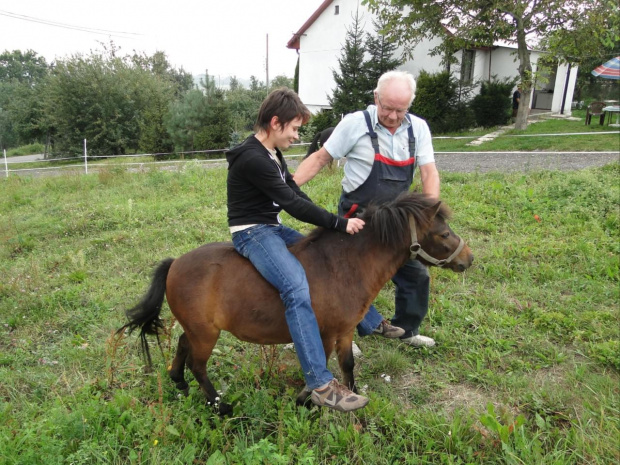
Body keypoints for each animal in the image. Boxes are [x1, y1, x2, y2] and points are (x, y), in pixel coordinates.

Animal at [118, 192, 472, 414]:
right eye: (443, 234)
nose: (468, 259)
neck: (344, 265)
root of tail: (175, 264)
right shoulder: (325, 333)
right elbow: (321, 367)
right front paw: (312, 399)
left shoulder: (344, 331)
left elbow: (347, 365)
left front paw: (352, 396)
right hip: (206, 335)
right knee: (198, 365)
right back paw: (219, 406)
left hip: (197, 329)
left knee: (181, 345)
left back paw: (179, 382)